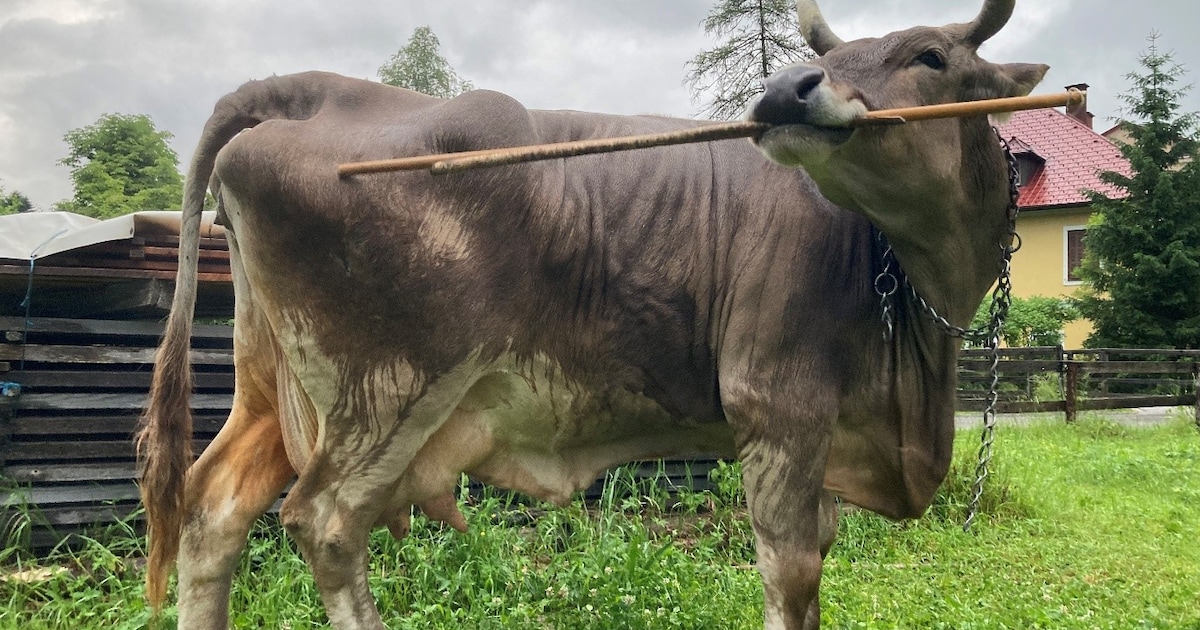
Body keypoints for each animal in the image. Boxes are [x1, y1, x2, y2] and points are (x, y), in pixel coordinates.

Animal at [137, 0, 1046, 627]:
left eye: (929, 55)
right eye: (833, 55)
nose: (785, 91)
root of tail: (310, 90)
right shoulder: (778, 410)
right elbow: (791, 577)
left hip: (274, 386)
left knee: (213, 509)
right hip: (388, 390)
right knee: (324, 523)